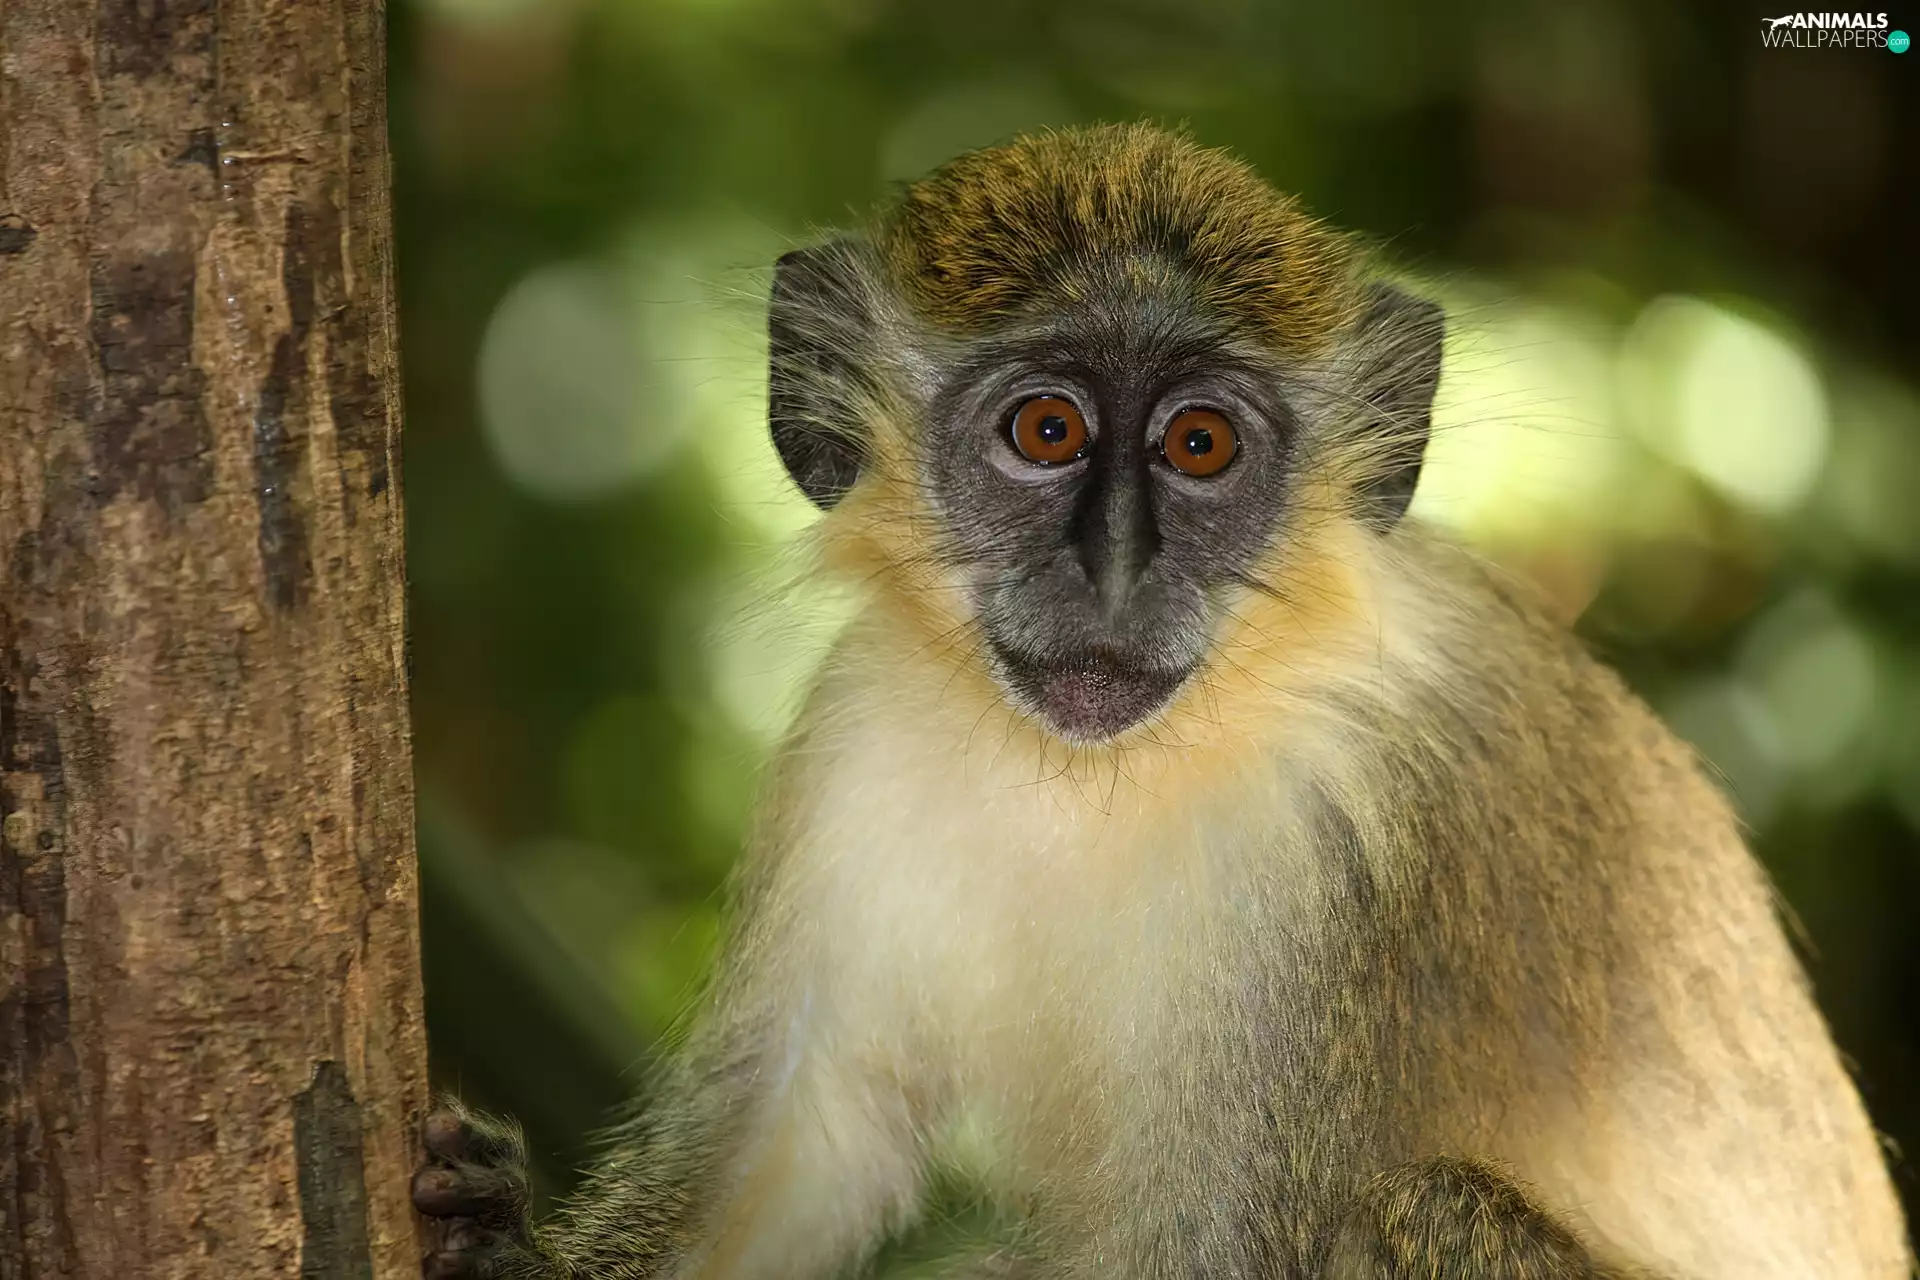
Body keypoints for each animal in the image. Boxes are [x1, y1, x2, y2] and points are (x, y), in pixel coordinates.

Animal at [412, 123, 1912, 1280]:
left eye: (1199, 445)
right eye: (1046, 430)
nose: (1117, 570)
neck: (1105, 776)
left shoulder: (1343, 848)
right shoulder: (850, 742)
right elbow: (798, 1133)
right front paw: (509, 1247)